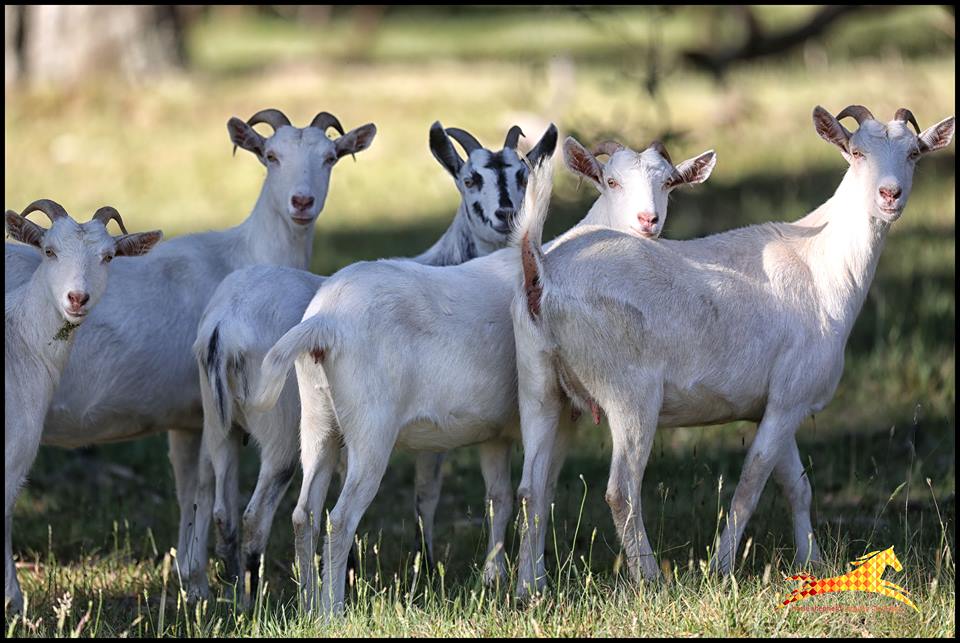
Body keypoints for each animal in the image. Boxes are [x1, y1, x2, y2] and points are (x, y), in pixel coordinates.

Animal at [185, 122, 550, 603]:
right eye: (470, 178)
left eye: (522, 174)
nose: (506, 215)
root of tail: (223, 324)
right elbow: (428, 495)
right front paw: (427, 568)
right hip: (292, 434)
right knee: (260, 515)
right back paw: (267, 599)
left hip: (225, 424)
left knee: (216, 501)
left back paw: (221, 593)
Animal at [252, 129, 717, 616]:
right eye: (611, 181)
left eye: (669, 183)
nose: (648, 222)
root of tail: (324, 321)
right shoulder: (562, 412)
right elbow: (540, 490)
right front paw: (531, 580)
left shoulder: (496, 431)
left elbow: (503, 498)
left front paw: (498, 578)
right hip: (370, 428)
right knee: (339, 518)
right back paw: (333, 610)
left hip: (318, 418)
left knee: (303, 513)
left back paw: (308, 604)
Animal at [510, 105, 954, 599]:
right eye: (857, 152)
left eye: (914, 152)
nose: (889, 194)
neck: (820, 262)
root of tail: (542, 271)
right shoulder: (791, 396)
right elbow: (751, 482)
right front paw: (721, 568)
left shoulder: (776, 402)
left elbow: (797, 485)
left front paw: (814, 563)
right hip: (630, 394)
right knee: (620, 490)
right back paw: (652, 580)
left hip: (540, 386)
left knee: (532, 489)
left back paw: (530, 591)